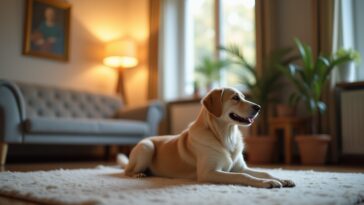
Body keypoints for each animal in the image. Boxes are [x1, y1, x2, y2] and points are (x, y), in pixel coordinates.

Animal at [119, 87, 296, 188]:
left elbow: (264, 172)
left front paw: (281, 179)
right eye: (235, 98)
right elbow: (242, 176)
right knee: (126, 171)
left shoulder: (240, 167)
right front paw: (267, 183)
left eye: (244, 97)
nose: (258, 107)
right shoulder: (209, 173)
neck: (226, 136)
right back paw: (139, 174)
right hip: (147, 147)